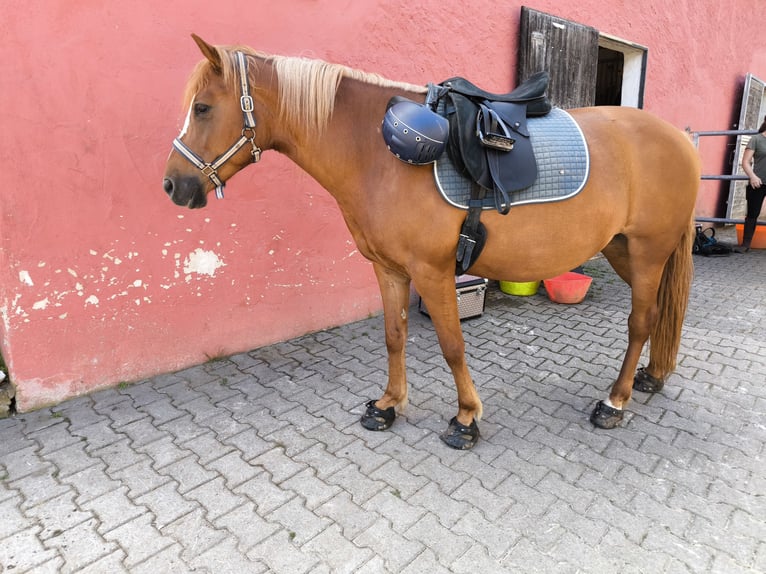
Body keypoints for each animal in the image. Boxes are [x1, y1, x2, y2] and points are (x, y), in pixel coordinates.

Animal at [164, 36, 704, 450]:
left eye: (203, 107)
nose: (173, 186)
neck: (379, 153)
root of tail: (677, 135)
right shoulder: (388, 269)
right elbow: (394, 336)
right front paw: (388, 405)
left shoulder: (433, 271)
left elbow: (451, 345)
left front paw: (465, 419)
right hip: (622, 249)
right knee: (657, 314)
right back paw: (651, 377)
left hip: (648, 250)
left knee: (640, 322)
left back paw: (614, 401)